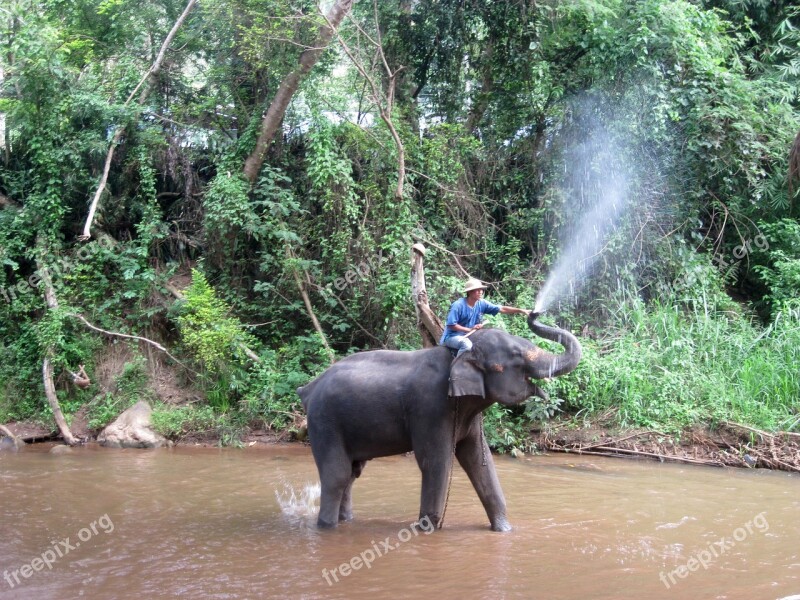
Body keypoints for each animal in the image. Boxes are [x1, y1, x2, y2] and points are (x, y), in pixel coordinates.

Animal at [296, 312, 580, 532]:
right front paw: (427, 531)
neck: (459, 354)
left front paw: (504, 530)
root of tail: (309, 389)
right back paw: (327, 528)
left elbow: (479, 461)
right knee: (337, 476)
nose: (534, 313)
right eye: (516, 356)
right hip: (324, 422)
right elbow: (437, 462)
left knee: (352, 474)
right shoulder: (430, 408)